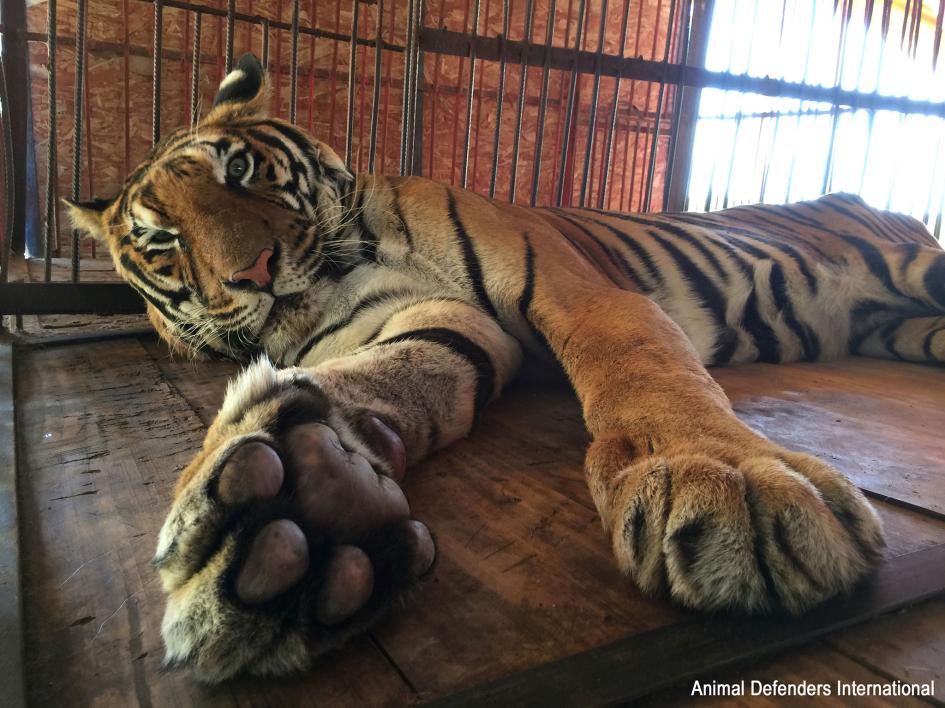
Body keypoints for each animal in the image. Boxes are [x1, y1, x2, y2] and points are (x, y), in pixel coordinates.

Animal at [66, 53, 945, 683]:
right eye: (161, 241)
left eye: (239, 172)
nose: (253, 271)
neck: (346, 266)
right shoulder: (437, 323)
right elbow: (390, 375)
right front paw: (298, 500)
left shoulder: (577, 288)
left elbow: (640, 365)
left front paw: (727, 482)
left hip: (921, 271)